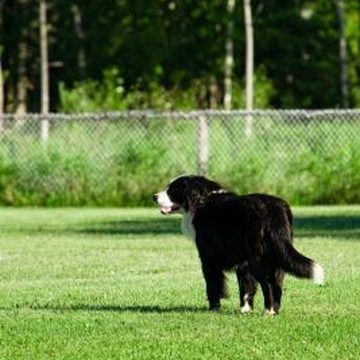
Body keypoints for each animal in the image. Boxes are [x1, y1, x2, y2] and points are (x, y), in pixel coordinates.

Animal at [153, 176, 324, 314]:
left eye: (172, 189)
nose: (154, 196)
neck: (202, 200)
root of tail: (273, 208)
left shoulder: (208, 258)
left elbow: (213, 285)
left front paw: (214, 308)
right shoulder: (243, 261)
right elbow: (246, 286)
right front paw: (245, 309)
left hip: (259, 258)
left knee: (267, 283)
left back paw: (268, 311)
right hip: (277, 256)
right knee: (278, 283)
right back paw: (274, 310)